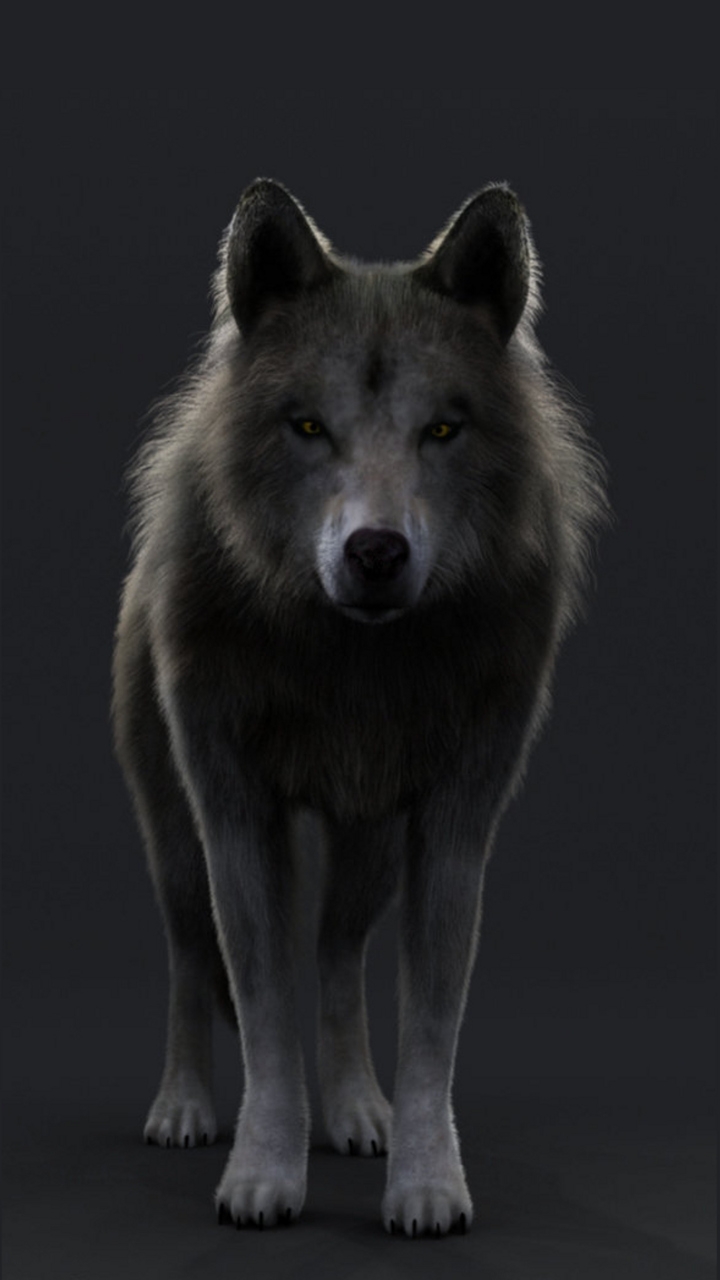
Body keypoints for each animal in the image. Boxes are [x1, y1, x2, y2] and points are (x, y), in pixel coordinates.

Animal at [112, 177, 606, 1237]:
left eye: (443, 429)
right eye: (308, 427)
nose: (376, 552)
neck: (353, 669)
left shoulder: (457, 825)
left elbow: (429, 1031)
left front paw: (425, 1184)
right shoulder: (236, 816)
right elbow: (261, 1011)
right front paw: (263, 1174)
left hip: (372, 843)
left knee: (338, 956)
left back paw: (352, 1109)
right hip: (173, 838)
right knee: (186, 960)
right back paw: (182, 1106)